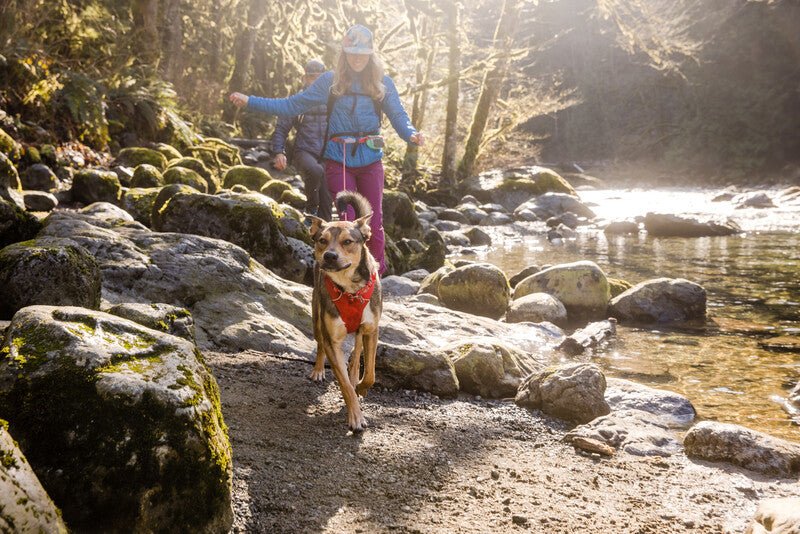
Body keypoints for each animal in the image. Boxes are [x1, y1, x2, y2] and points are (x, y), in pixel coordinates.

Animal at [306, 193, 382, 436]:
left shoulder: (371, 330)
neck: (350, 290)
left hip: (358, 333)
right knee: (320, 343)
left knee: (356, 355)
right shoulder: (333, 340)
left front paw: (361, 387)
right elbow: (344, 384)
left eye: (348, 242)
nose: (330, 255)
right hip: (317, 318)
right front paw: (355, 417)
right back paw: (319, 370)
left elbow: (370, 373)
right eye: (322, 240)